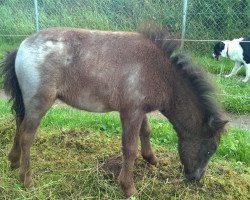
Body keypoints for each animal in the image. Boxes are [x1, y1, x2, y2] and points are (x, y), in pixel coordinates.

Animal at [0, 24, 228, 197]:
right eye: (211, 149)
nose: (196, 178)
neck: (160, 73)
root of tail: (21, 47)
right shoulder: (131, 112)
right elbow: (130, 148)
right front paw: (128, 188)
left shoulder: (139, 109)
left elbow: (146, 132)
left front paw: (152, 159)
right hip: (40, 103)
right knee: (27, 136)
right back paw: (26, 180)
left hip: (28, 104)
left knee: (19, 124)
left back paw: (13, 161)